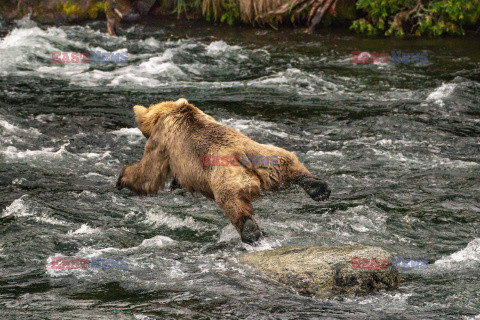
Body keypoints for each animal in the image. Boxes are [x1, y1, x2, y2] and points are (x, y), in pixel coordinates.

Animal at [118, 99, 332, 244]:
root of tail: (241, 154)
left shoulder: (162, 142)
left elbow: (149, 174)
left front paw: (122, 177)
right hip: (266, 157)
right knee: (288, 163)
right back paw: (318, 188)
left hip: (226, 176)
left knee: (231, 200)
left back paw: (250, 231)